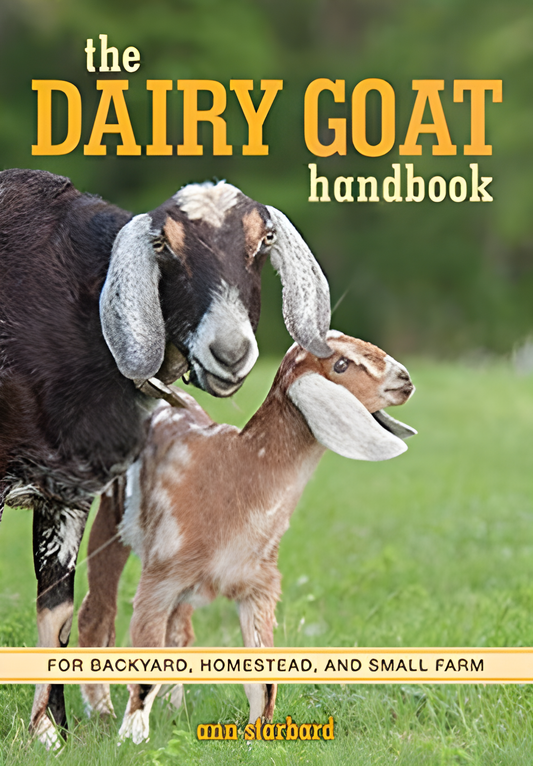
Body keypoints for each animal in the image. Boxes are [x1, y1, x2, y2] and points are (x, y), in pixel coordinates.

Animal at [0, 169, 331, 748]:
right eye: (163, 246)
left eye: (263, 240)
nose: (230, 353)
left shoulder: (66, 489)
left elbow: (55, 609)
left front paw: (49, 732)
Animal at [78, 331, 416, 743]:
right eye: (341, 364)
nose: (404, 380)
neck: (234, 472)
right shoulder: (159, 578)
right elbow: (145, 662)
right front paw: (133, 736)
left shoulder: (259, 586)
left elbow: (263, 677)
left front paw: (259, 733)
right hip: (112, 522)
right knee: (97, 614)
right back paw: (102, 712)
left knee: (179, 632)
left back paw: (175, 710)